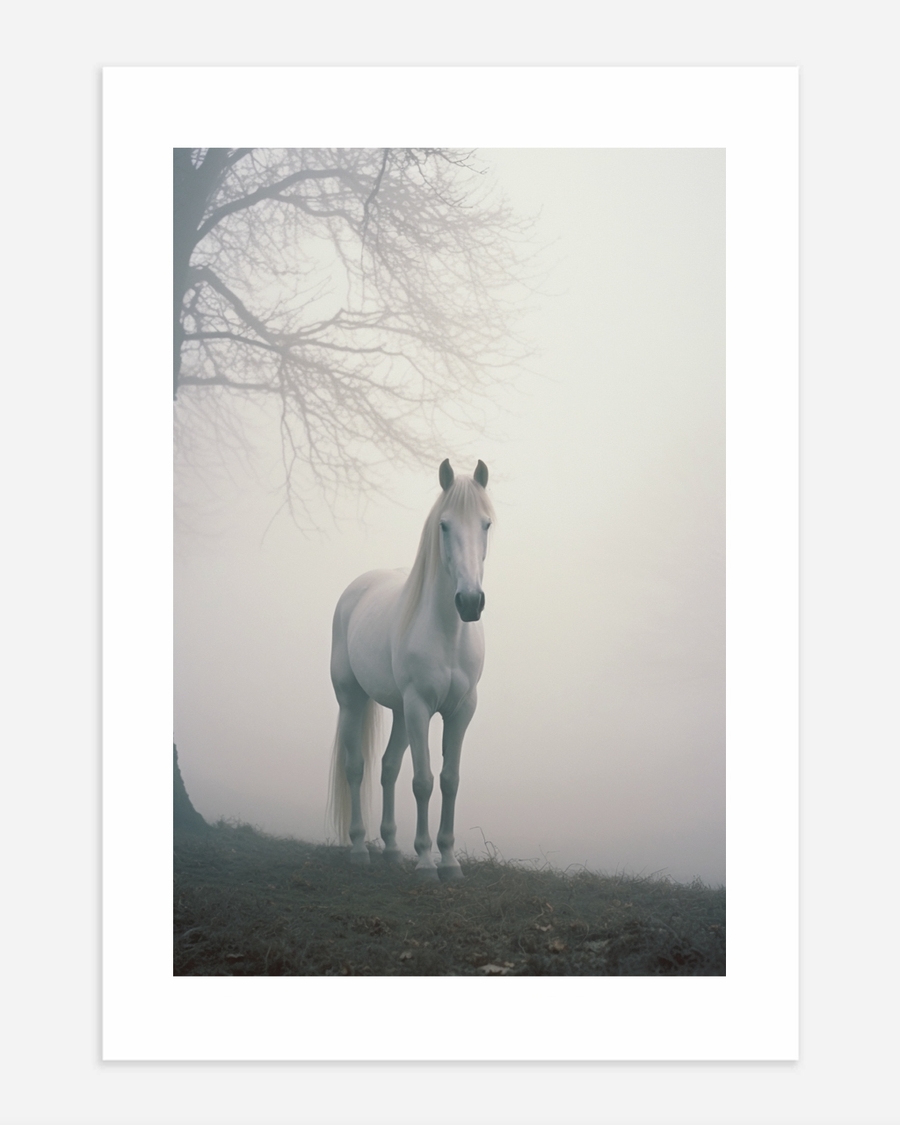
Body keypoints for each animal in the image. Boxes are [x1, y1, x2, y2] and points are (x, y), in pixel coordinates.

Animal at [328, 459, 494, 881]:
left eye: (486, 524)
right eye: (444, 525)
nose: (470, 602)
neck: (448, 633)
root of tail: (357, 588)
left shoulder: (461, 711)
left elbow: (449, 780)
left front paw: (449, 860)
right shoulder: (420, 707)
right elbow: (423, 781)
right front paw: (425, 863)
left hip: (401, 713)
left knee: (388, 768)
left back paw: (390, 848)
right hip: (353, 701)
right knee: (357, 768)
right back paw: (359, 848)